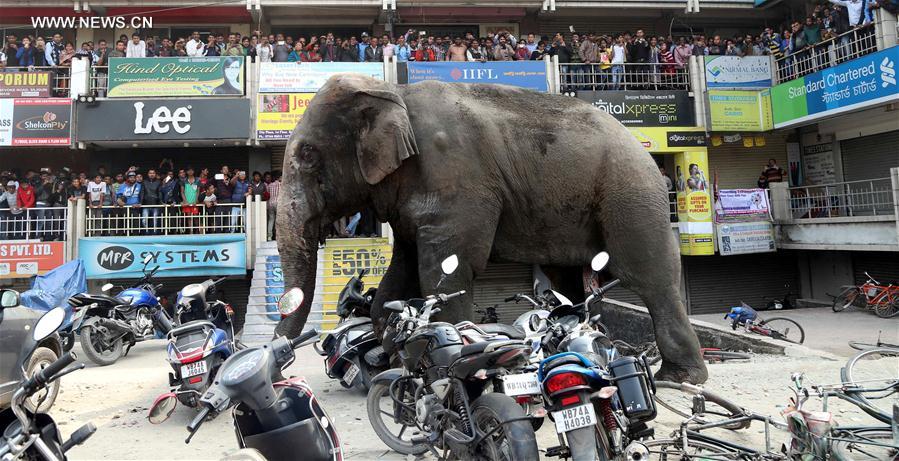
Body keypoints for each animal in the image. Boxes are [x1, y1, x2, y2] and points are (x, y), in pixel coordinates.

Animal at [274, 73, 712, 382]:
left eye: (308, 154)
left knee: (649, 277)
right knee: (565, 283)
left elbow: (447, 268)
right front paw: (391, 360)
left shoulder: (456, 177)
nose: (282, 363)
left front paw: (441, 364)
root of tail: (642, 145)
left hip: (630, 194)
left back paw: (681, 377)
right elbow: (401, 272)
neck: (394, 91)